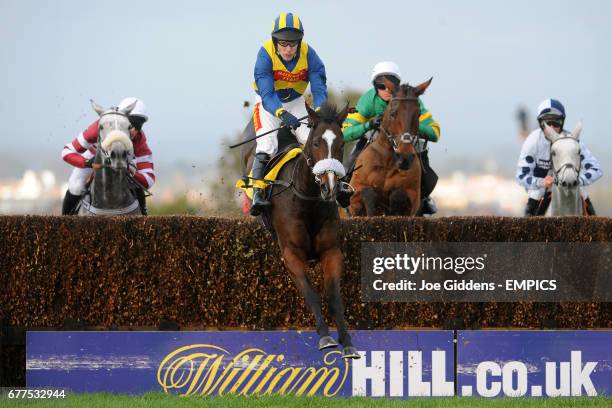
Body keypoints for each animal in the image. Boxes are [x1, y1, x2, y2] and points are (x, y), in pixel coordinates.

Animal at [244, 102, 358, 360]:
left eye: (341, 144)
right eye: (315, 143)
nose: (329, 187)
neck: (308, 201)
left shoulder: (331, 251)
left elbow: (334, 296)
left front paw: (347, 342)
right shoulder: (291, 254)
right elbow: (311, 293)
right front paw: (325, 337)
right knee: (265, 149)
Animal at [346, 77, 432, 217]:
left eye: (418, 114)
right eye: (393, 113)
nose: (405, 157)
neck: (388, 161)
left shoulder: (413, 199)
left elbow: (399, 194)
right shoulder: (354, 195)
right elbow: (367, 193)